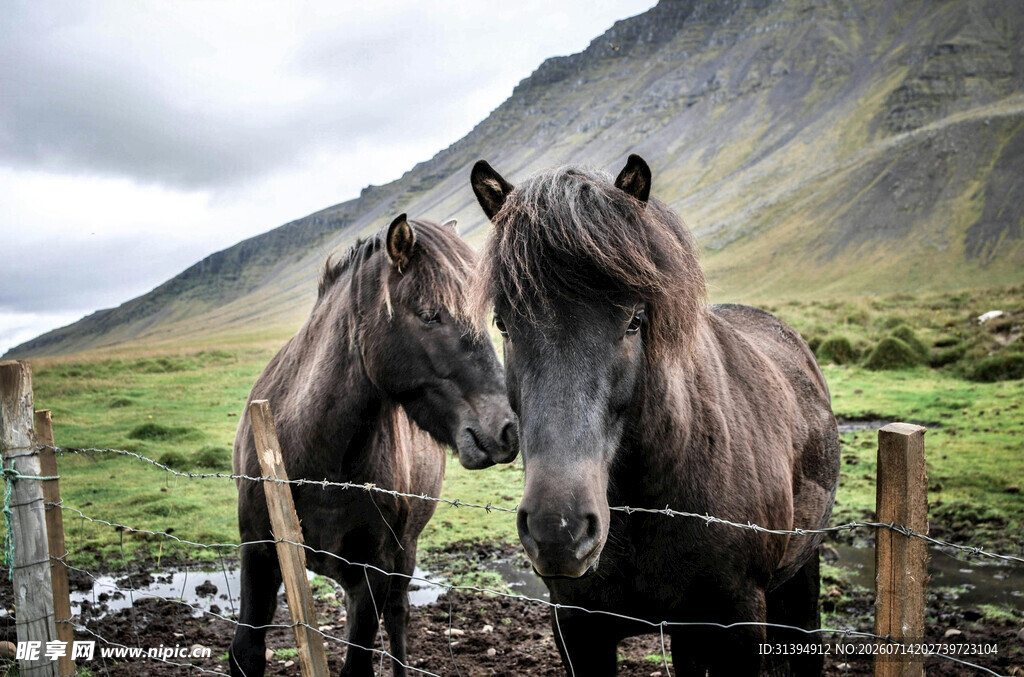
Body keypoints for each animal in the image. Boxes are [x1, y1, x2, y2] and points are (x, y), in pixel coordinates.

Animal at [229, 214, 519, 677]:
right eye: (430, 315)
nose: (506, 430)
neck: (321, 464)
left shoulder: (374, 569)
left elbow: (359, 662)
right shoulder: (258, 551)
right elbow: (246, 652)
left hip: (404, 555)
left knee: (398, 616)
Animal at [469, 155, 840, 676]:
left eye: (634, 320)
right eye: (503, 323)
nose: (558, 529)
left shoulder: (739, 623)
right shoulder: (577, 628)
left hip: (802, 575)